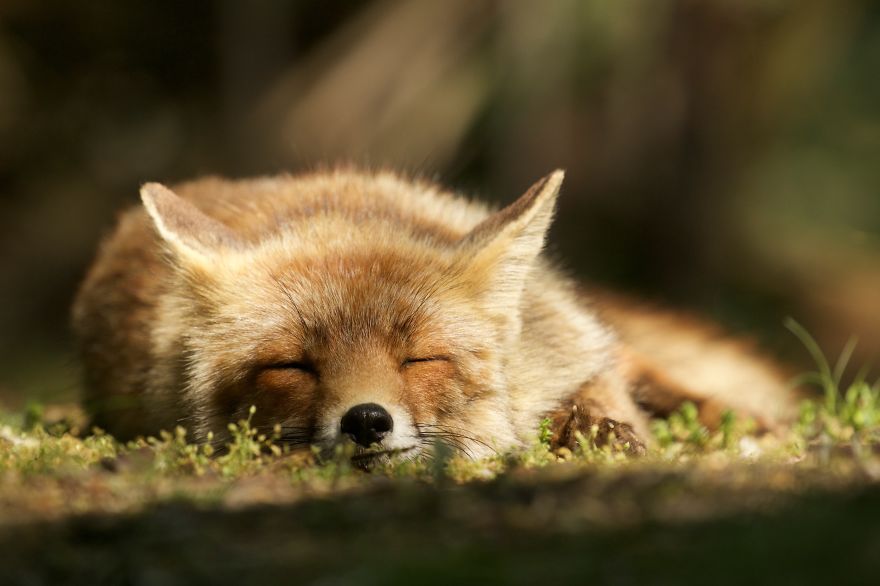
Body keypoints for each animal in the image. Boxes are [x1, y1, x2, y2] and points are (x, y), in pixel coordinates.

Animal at [71, 169, 797, 464]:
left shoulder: (565, 351)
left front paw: (606, 431)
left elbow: (603, 392)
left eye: (418, 358)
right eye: (292, 366)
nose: (367, 421)